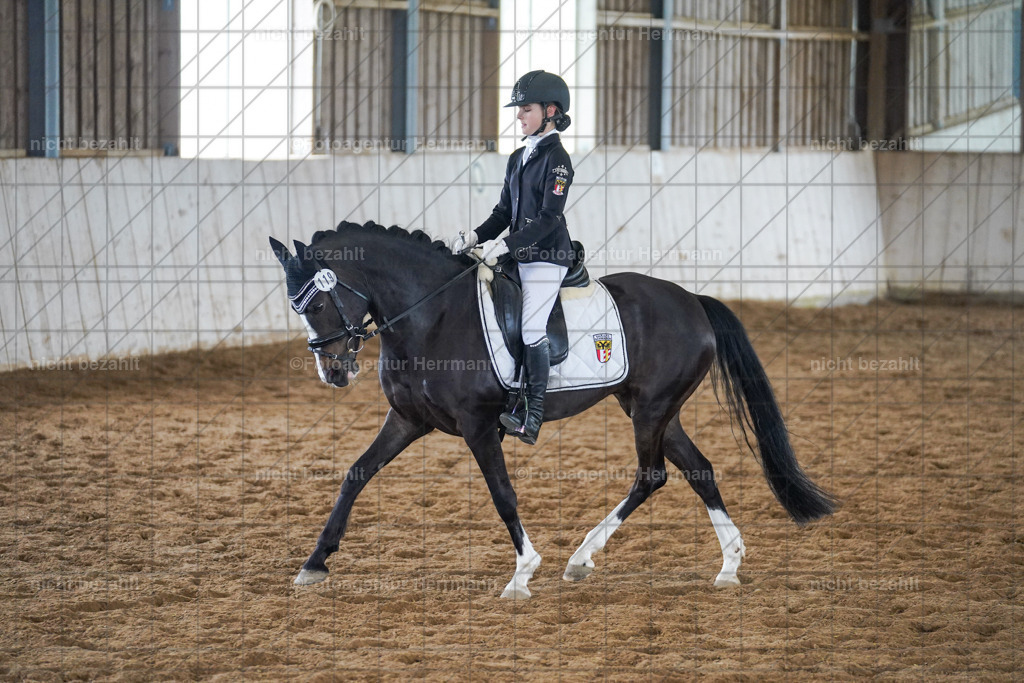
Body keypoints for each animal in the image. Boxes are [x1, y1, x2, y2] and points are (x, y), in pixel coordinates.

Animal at [269, 220, 836, 599]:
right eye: (296, 307)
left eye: (315, 303)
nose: (334, 373)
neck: (432, 315)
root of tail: (692, 301)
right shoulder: (408, 420)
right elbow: (355, 473)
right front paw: (315, 562)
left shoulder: (479, 426)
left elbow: (502, 495)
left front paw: (523, 572)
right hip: (653, 408)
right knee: (699, 469)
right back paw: (728, 565)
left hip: (652, 410)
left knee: (651, 475)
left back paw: (583, 557)